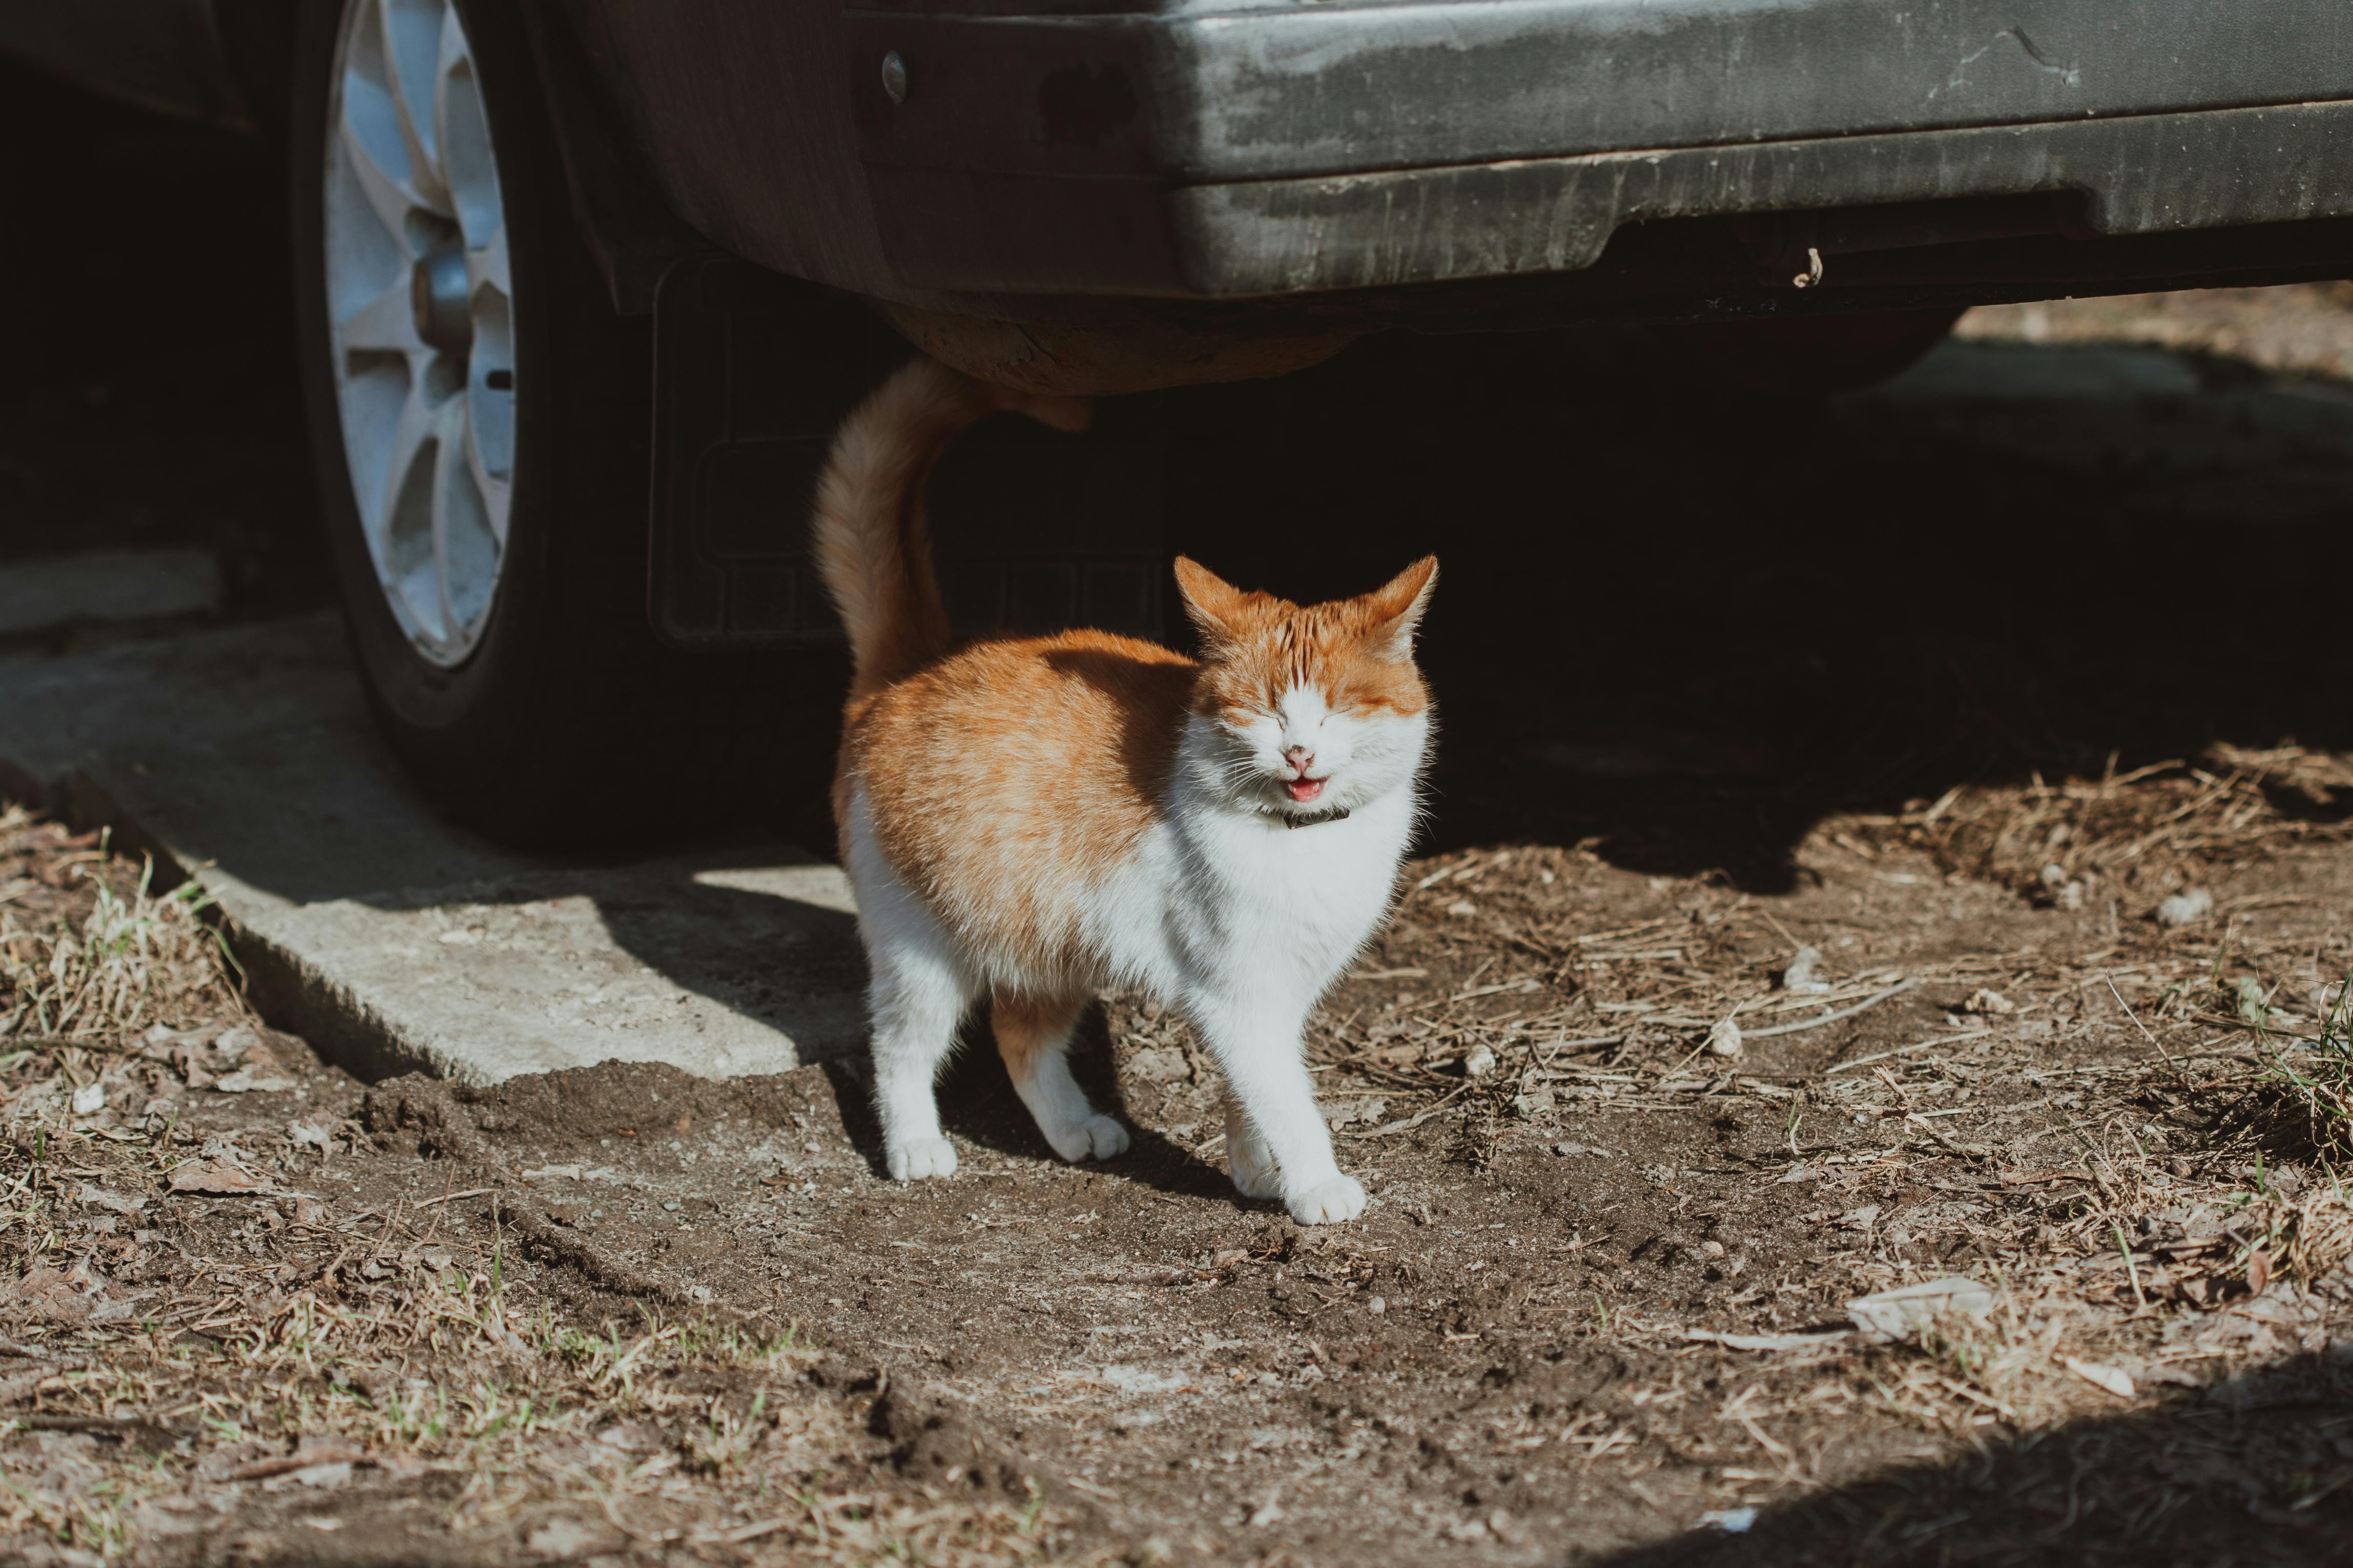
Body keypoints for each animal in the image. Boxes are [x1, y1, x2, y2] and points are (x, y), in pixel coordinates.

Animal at [809, 360, 1430, 1222]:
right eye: (1262, 710)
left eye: (1338, 707)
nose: (1300, 750)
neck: (1301, 842)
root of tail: (912, 669)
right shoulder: (1239, 998)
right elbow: (1286, 1100)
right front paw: (1313, 1184)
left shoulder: (1279, 994)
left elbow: (1249, 1099)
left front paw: (1258, 1174)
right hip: (921, 951)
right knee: (900, 1046)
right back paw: (915, 1145)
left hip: (1051, 946)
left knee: (1019, 1034)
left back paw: (1074, 1128)